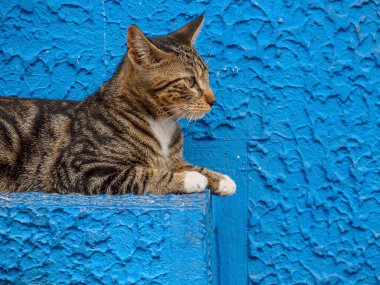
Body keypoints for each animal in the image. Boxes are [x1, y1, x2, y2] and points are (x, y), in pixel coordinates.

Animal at [0, 13, 236, 195]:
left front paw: (219, 178)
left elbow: (184, 164)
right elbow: (141, 173)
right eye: (190, 81)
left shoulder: (172, 159)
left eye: (207, 77)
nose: (213, 101)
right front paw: (189, 178)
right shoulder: (80, 168)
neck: (162, 122)